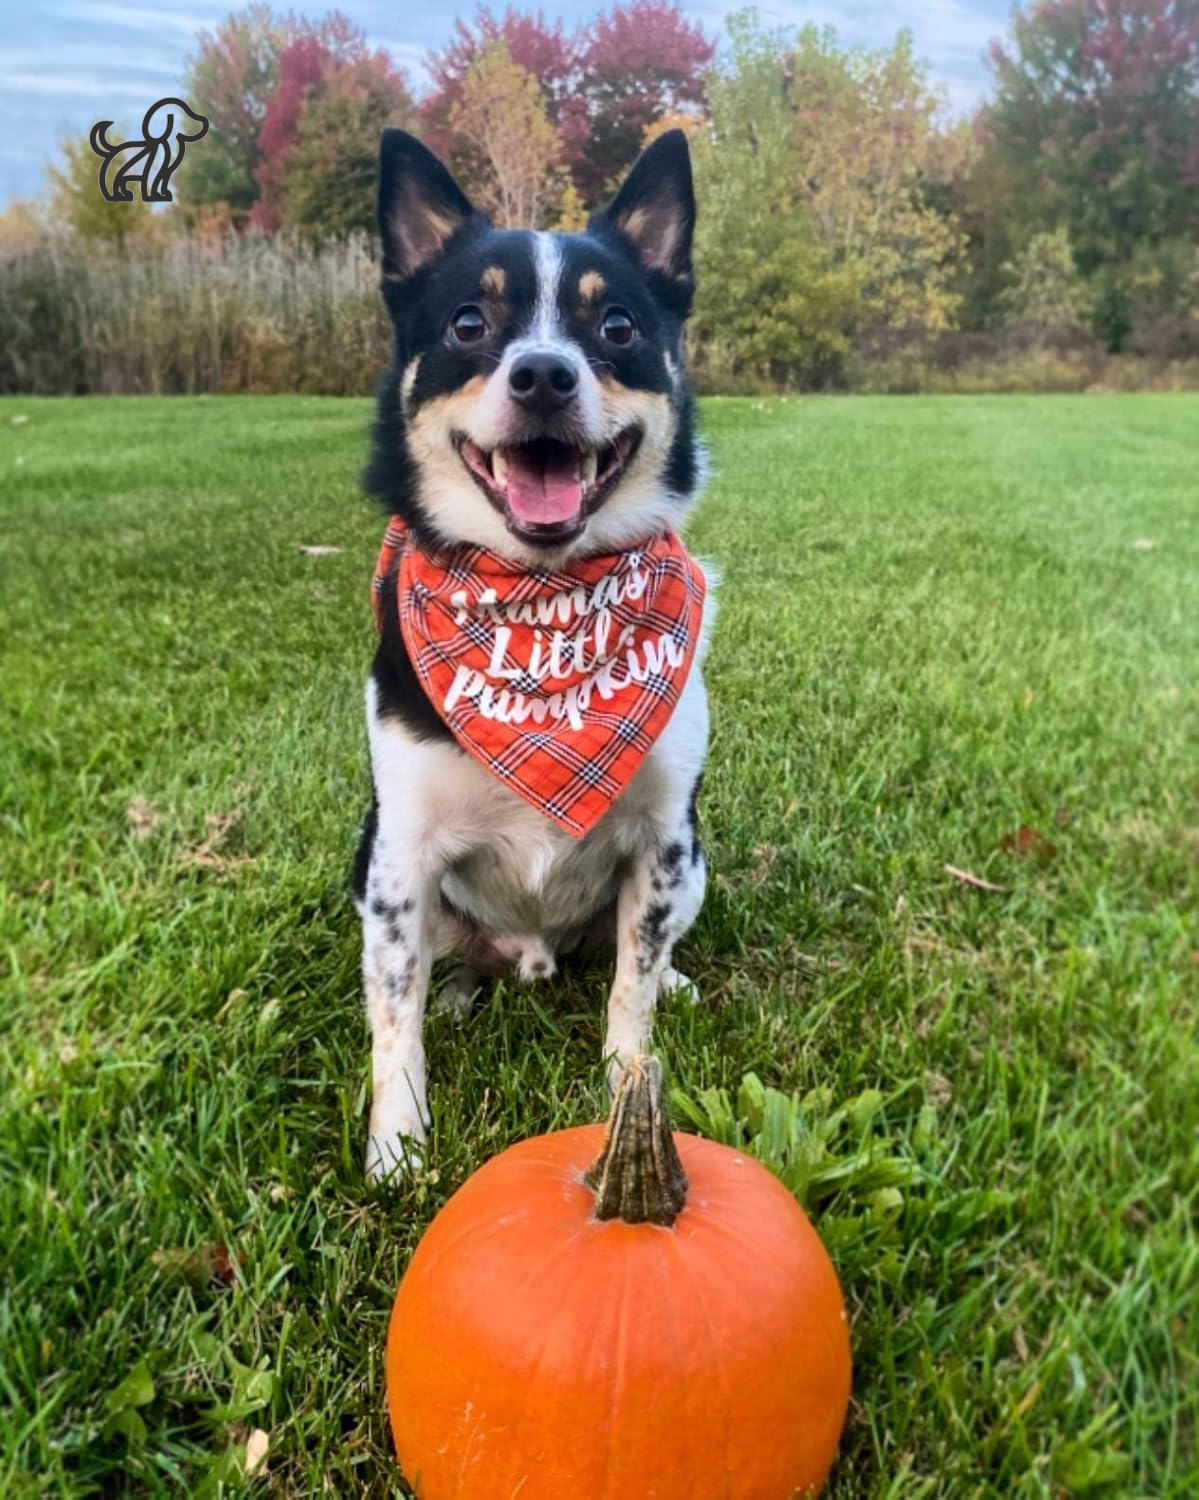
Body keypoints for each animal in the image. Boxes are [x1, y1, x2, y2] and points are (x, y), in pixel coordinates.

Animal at [354, 129, 714, 1182]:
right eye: (469, 321)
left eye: (619, 326)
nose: (545, 374)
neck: (542, 610)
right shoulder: (399, 859)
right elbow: (393, 1017)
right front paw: (398, 1144)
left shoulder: (662, 842)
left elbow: (630, 991)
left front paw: (628, 1095)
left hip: (696, 860)